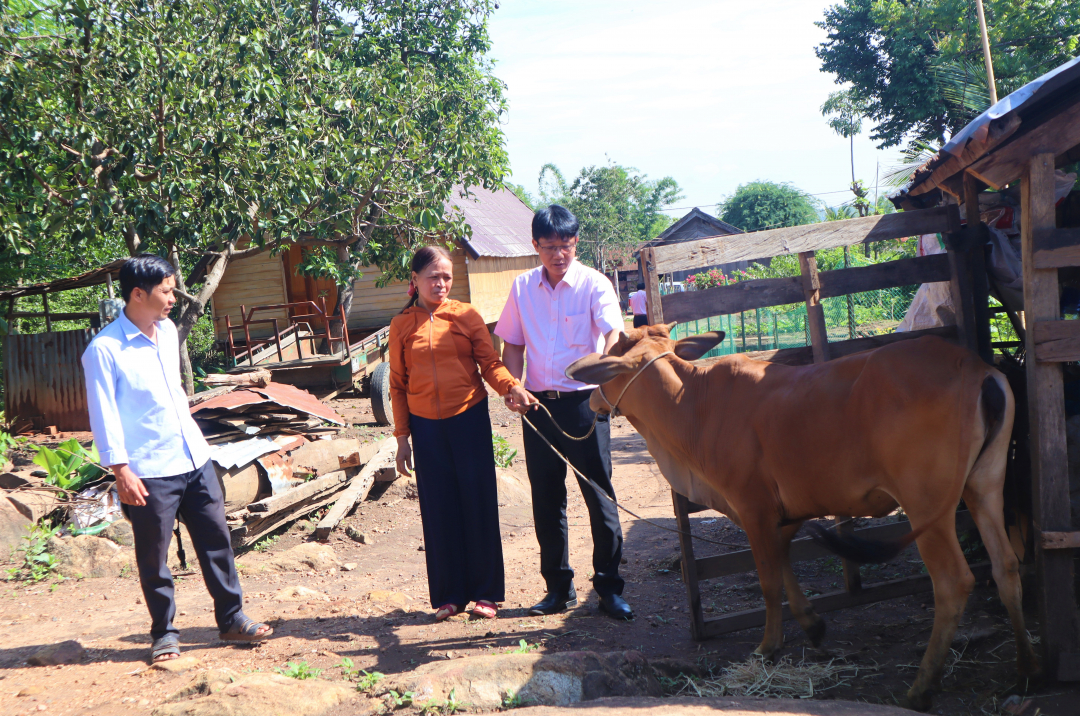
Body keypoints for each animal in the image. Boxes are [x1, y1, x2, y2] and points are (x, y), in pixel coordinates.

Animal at [570, 323, 1041, 712]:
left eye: (609, 365)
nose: (589, 399)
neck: (692, 403)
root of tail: (973, 366)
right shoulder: (790, 509)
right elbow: (782, 559)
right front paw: (813, 625)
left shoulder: (754, 507)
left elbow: (768, 579)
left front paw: (768, 646)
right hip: (984, 487)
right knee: (1006, 566)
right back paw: (1023, 671)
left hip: (929, 507)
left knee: (954, 582)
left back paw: (922, 687)